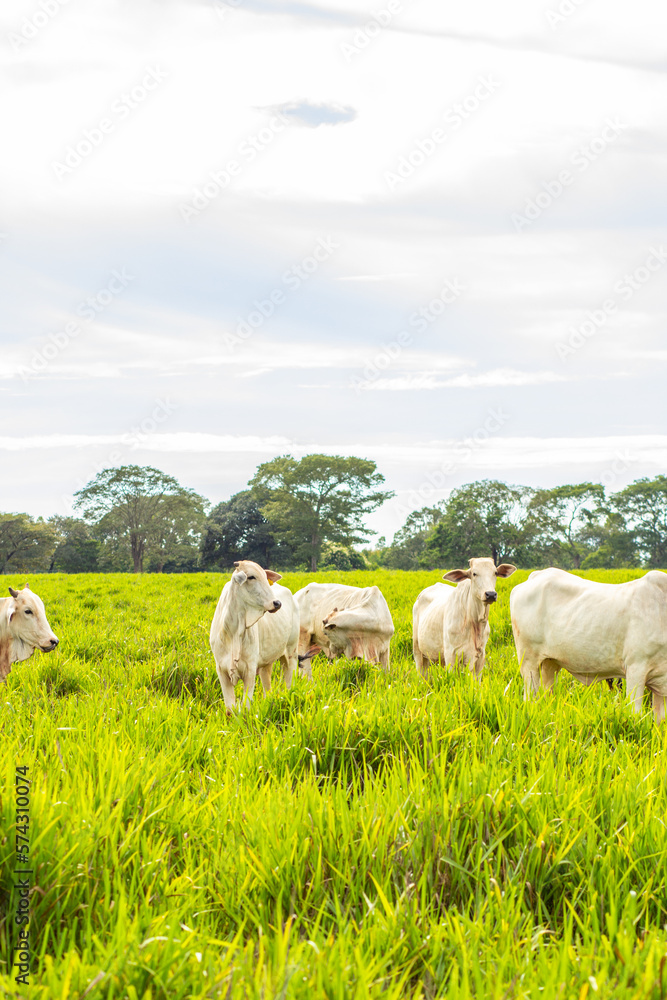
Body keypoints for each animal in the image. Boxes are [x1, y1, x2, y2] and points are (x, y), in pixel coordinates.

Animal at [211, 560, 300, 716]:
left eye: (265, 577)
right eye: (251, 577)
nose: (277, 603)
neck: (233, 632)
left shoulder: (250, 670)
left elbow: (246, 707)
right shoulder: (221, 670)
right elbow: (230, 709)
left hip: (291, 652)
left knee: (289, 680)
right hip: (266, 663)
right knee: (267, 688)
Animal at [512, 568, 667, 724]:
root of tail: (535, 575)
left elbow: (661, 720)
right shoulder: (636, 668)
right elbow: (635, 713)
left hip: (550, 663)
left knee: (547, 695)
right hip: (528, 661)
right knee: (530, 697)